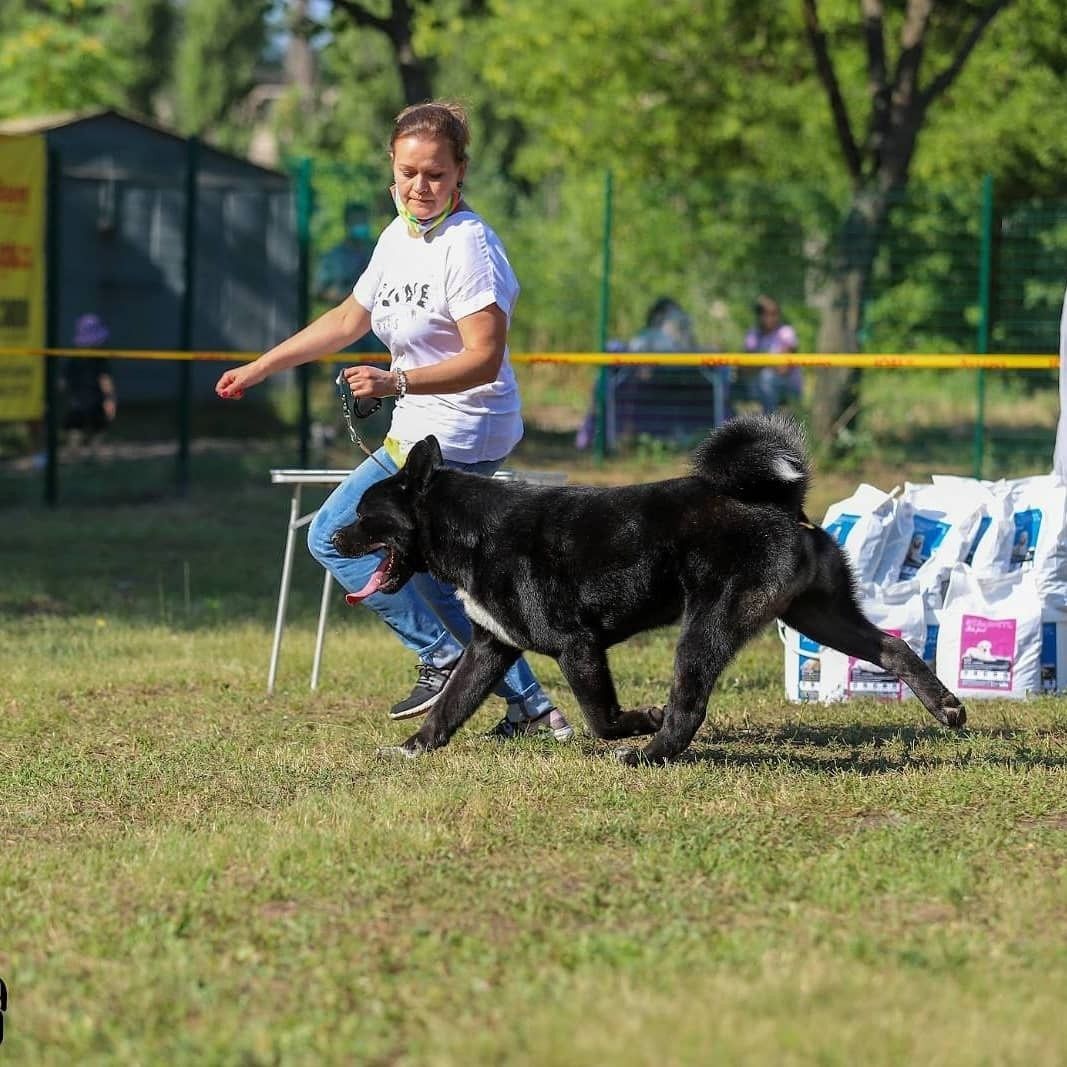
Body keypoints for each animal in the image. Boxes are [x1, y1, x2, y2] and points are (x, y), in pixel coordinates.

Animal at [332, 411, 968, 763]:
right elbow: (450, 707)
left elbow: (602, 718)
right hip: (820, 616)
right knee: (895, 647)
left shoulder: (577, 646)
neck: (471, 530)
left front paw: (639, 720)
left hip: (706, 629)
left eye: (365, 515)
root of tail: (779, 500)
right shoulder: (491, 647)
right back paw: (947, 707)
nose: (334, 535)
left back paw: (650, 751)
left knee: (689, 707)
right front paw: (412, 749)